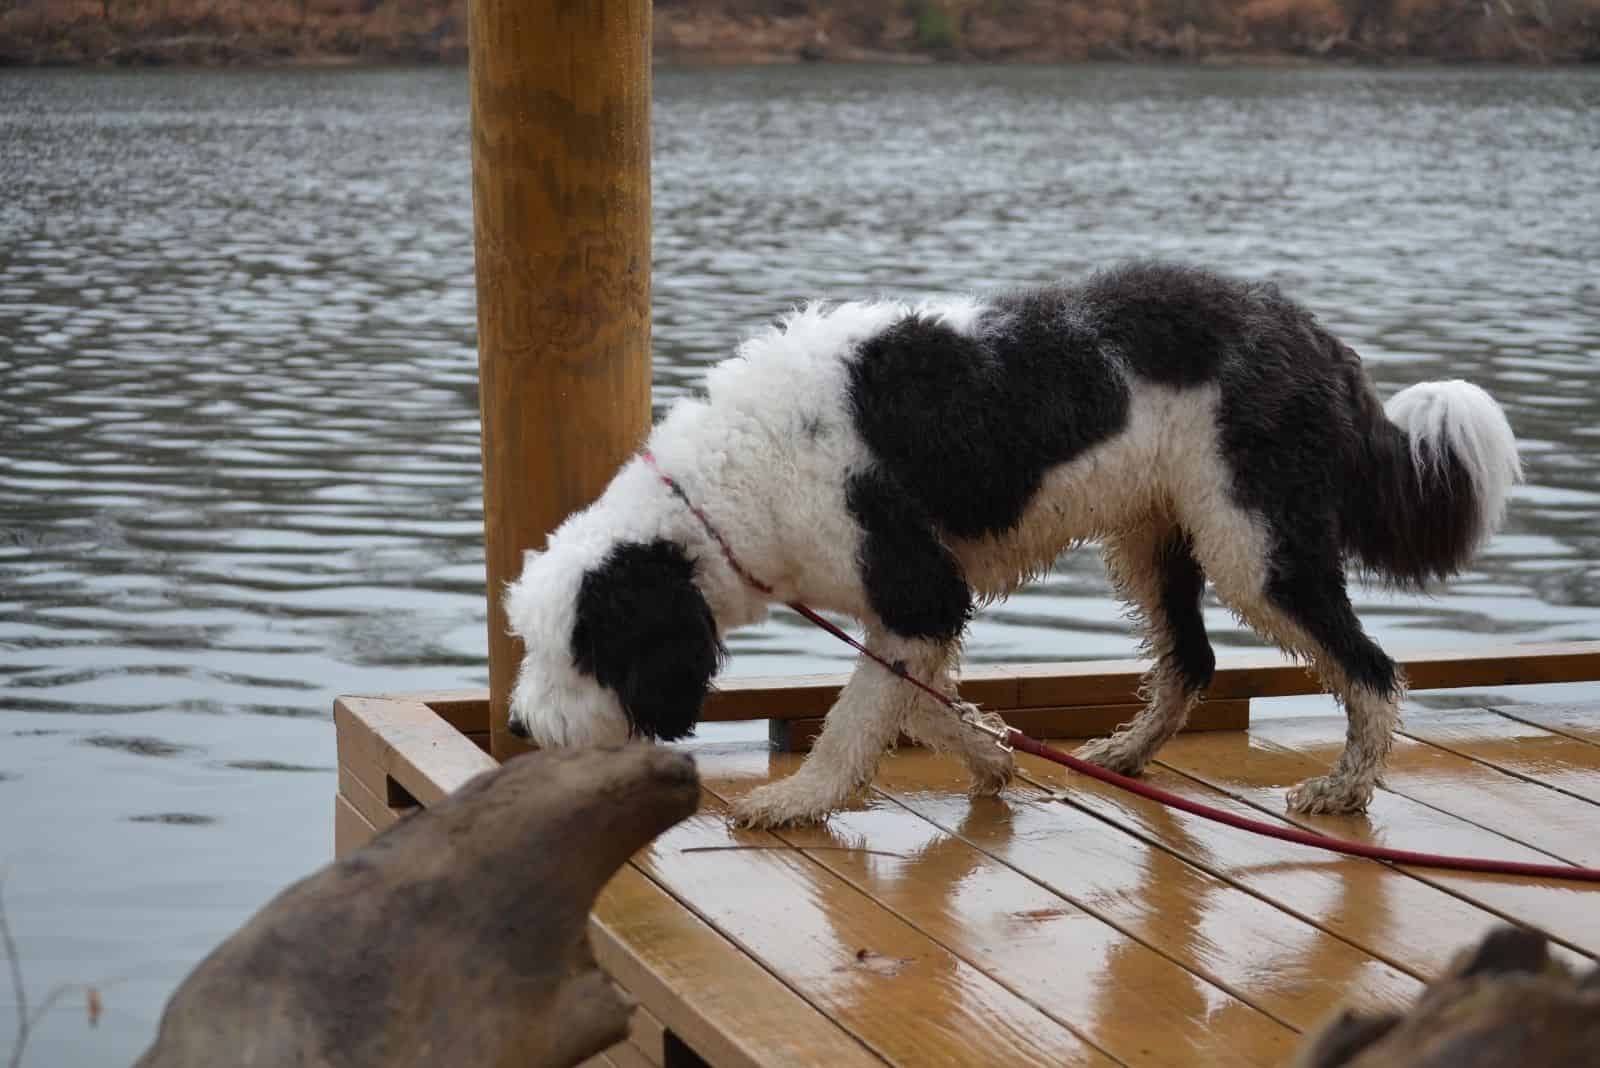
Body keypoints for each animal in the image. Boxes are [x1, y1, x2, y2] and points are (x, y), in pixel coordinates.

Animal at [505, 262, 1516, 831]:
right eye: (534, 645)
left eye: (584, 652)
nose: (519, 728)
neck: (728, 485)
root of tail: (1319, 342)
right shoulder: (911, 616)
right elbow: (919, 706)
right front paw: (992, 758)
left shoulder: (918, 592)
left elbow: (857, 718)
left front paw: (798, 802)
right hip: (1151, 537)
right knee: (1190, 661)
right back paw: (1126, 754)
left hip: (1256, 546)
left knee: (1371, 670)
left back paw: (1345, 790)